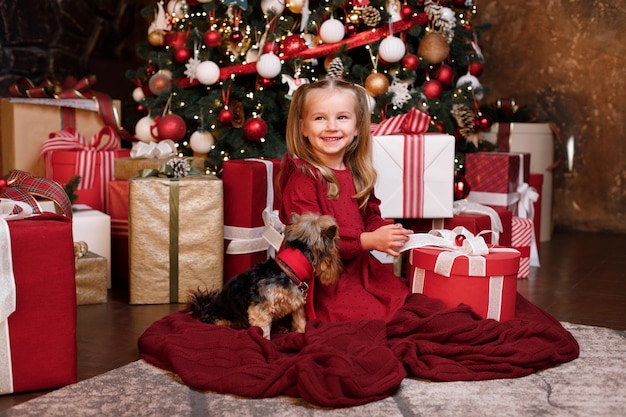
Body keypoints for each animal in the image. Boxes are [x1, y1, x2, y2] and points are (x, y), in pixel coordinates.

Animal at [186, 211, 342, 338]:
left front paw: (302, 333)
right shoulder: (259, 310)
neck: (288, 270)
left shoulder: (297, 306)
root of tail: (203, 307)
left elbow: (300, 322)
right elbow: (263, 331)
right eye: (335, 245)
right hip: (220, 318)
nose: (340, 267)